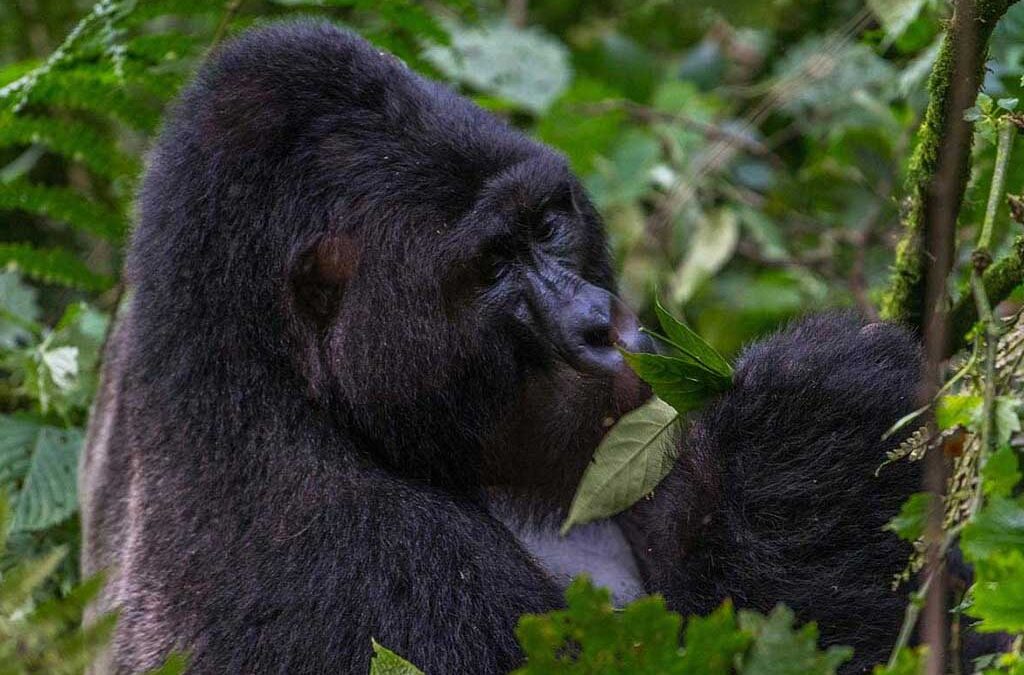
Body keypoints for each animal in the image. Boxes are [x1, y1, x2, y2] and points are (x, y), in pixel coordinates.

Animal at [83, 18, 925, 671]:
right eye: (492, 267)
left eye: (549, 224)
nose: (598, 324)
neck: (261, 367)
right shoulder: (344, 556)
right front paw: (817, 432)